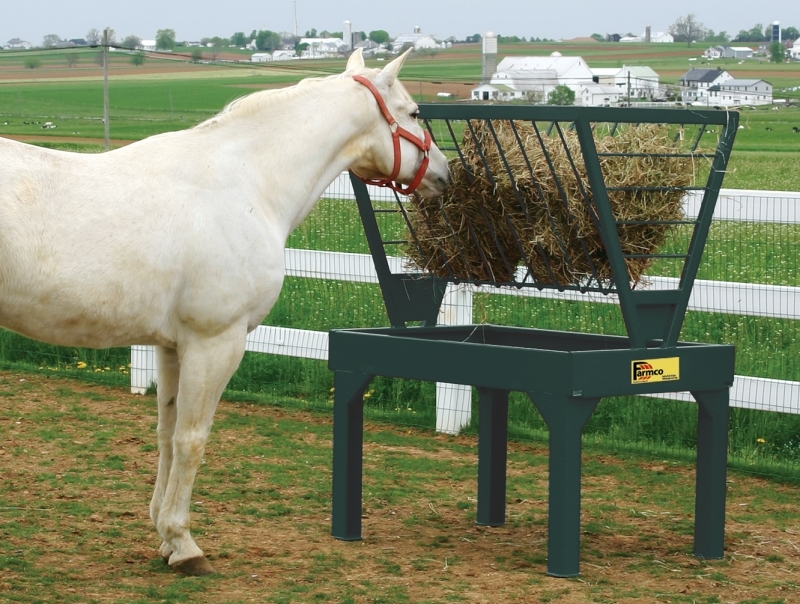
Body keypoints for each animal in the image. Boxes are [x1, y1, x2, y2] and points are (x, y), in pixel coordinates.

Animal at [0, 49, 450, 572]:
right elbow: (192, 439)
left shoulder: (172, 346)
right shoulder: (216, 341)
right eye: (414, 112)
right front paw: (184, 543)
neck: (245, 184)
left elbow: (167, 432)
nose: (445, 174)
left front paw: (162, 533)